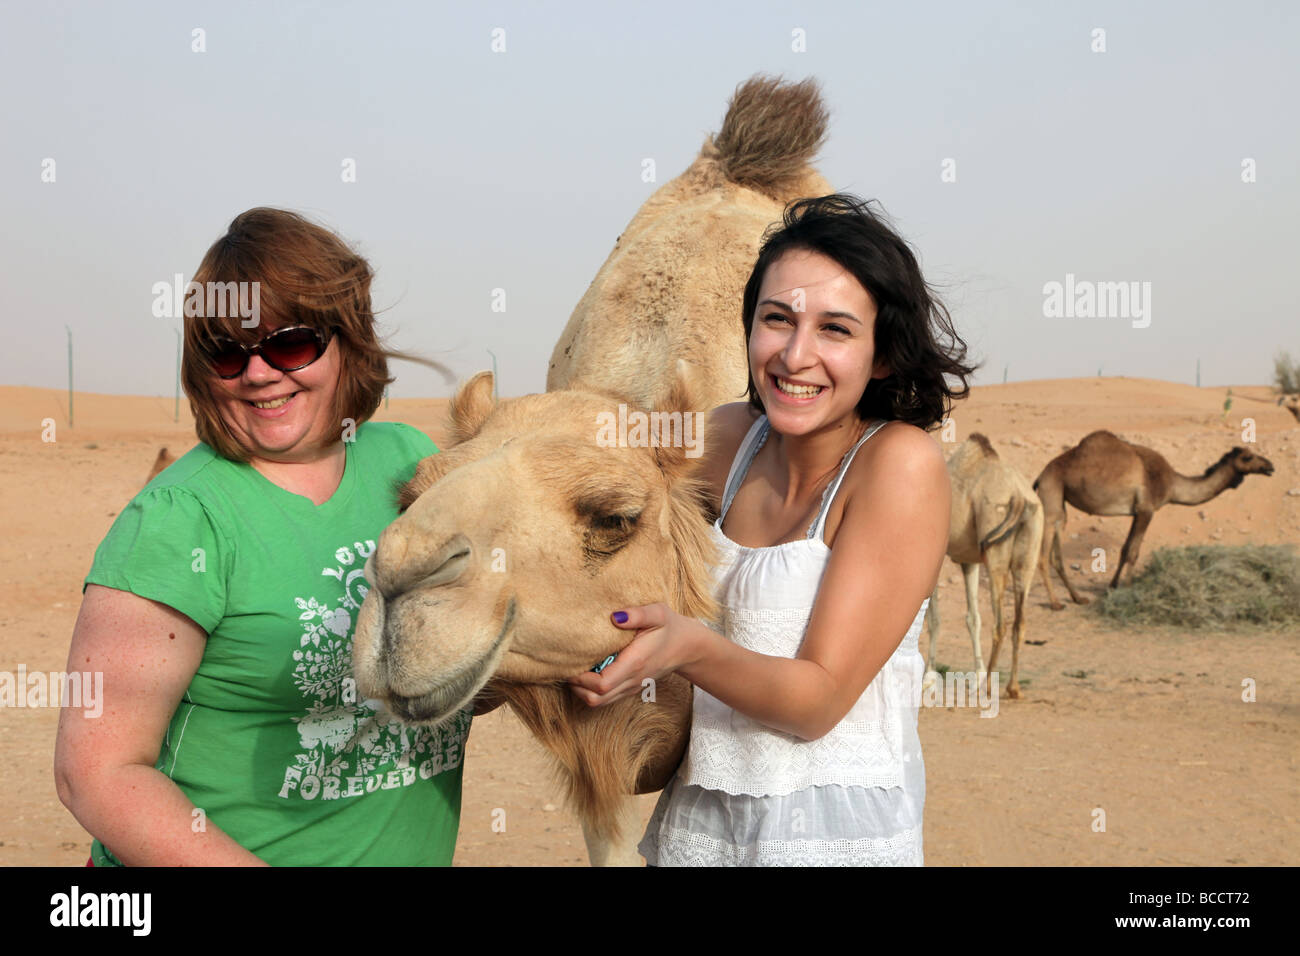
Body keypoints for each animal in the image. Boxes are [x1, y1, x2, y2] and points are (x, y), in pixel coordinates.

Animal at [925, 437, 1045, 697]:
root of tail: (1018, 496)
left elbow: (933, 619)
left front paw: (927, 676)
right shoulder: (969, 561)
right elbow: (973, 618)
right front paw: (977, 673)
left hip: (995, 549)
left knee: (1001, 623)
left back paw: (989, 685)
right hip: (1028, 552)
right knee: (1019, 622)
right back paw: (1012, 688)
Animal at [1029, 431, 1274, 608]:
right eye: (1247, 457)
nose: (1269, 466)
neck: (1172, 483)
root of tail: (1040, 475)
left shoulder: (1137, 512)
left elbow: (1124, 550)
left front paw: (1113, 587)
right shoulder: (1147, 510)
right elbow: (1133, 552)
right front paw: (1127, 590)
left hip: (1060, 502)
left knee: (1057, 553)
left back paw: (1078, 598)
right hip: (1052, 492)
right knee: (1042, 556)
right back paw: (1055, 603)